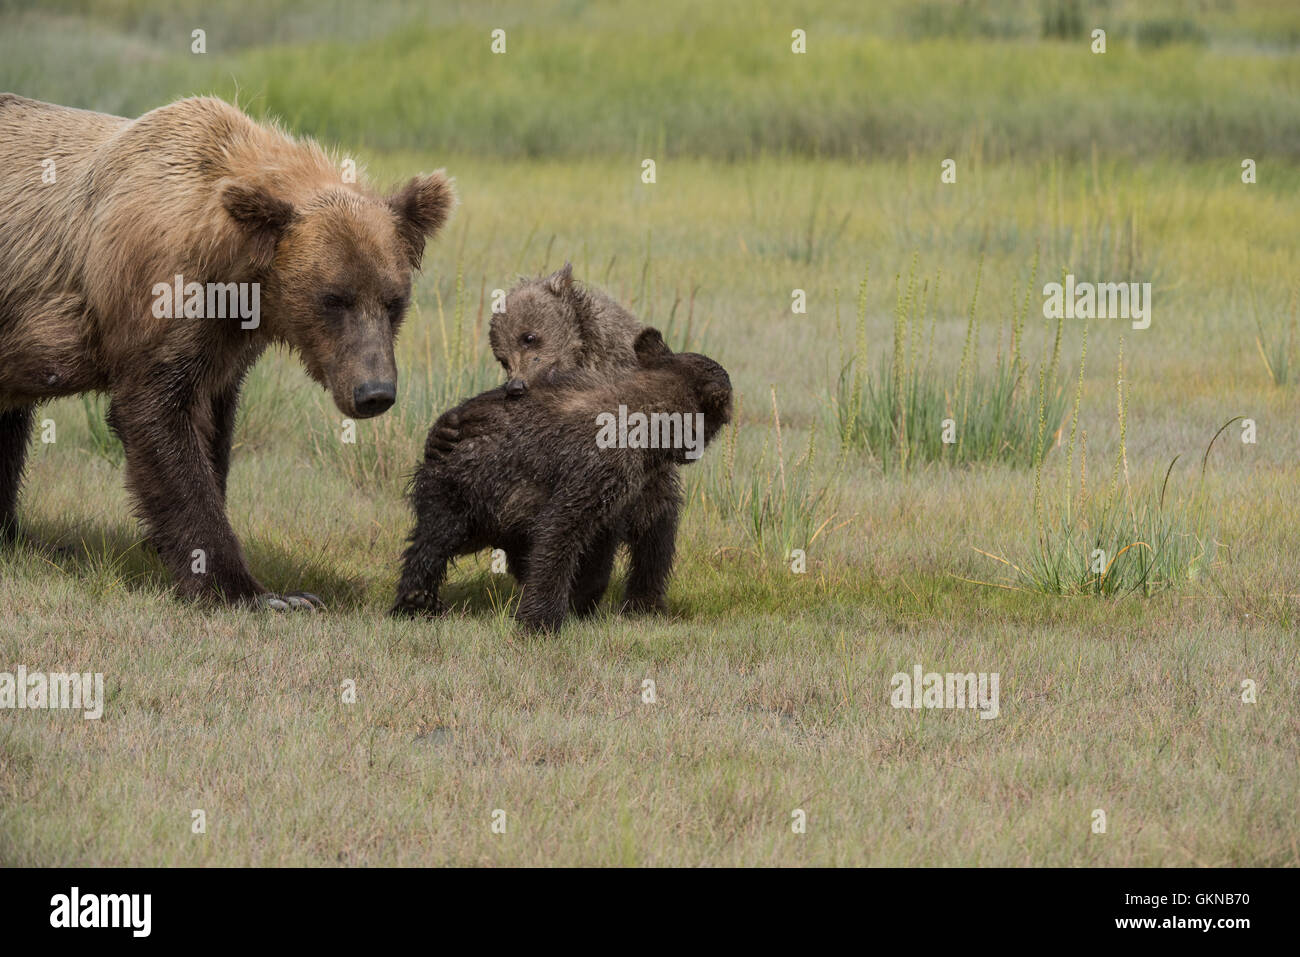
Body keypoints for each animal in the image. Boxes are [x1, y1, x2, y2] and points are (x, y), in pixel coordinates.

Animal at [0, 93, 457, 608]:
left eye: (393, 300)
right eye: (333, 298)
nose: (374, 391)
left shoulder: (223, 341)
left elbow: (213, 424)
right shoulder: (159, 296)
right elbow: (158, 417)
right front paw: (256, 591)